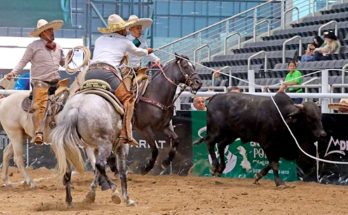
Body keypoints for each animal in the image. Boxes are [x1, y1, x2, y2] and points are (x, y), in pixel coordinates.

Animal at [197, 92, 328, 186]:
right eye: (309, 118)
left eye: (320, 117)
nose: (322, 134)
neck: (284, 118)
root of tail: (215, 97)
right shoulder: (267, 144)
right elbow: (274, 164)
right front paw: (279, 182)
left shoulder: (279, 148)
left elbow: (271, 163)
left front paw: (258, 176)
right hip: (216, 131)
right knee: (210, 142)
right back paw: (214, 166)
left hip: (231, 135)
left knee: (221, 145)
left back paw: (220, 169)